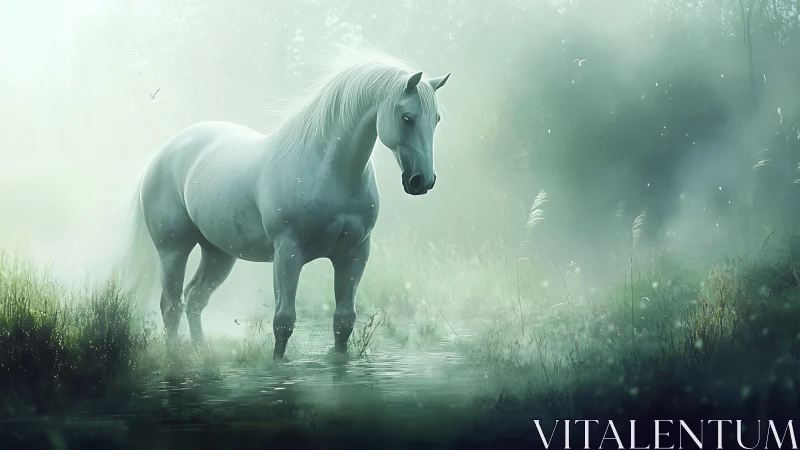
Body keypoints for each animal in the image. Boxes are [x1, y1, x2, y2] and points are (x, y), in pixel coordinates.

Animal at [116, 50, 451, 361]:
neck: (327, 170)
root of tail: (163, 153)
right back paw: (176, 359)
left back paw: (203, 354)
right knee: (171, 305)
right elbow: (284, 321)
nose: (422, 180)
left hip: (218, 253)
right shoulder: (288, 253)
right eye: (407, 118)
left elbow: (344, 321)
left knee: (195, 298)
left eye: (436, 120)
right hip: (173, 249)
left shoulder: (354, 254)